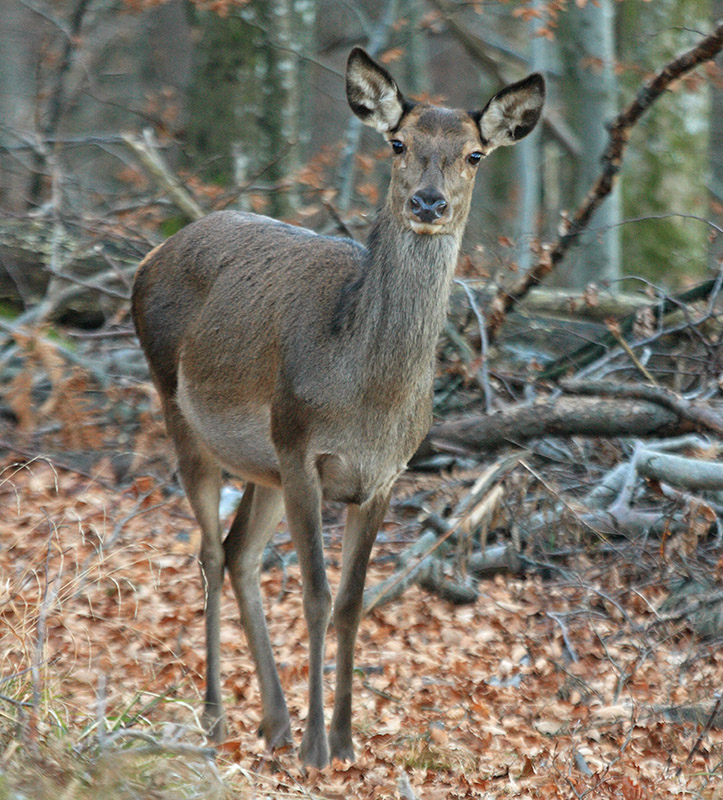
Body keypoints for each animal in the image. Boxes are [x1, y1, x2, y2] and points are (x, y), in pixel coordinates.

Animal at [133, 48, 544, 768]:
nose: (428, 201)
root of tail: (146, 259)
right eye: (398, 142)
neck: (368, 397)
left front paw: (347, 739)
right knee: (209, 551)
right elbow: (317, 594)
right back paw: (216, 717)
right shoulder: (302, 449)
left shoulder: (383, 475)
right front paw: (318, 748)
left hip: (262, 463)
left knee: (239, 553)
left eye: (473, 154)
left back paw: (272, 722)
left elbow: (353, 601)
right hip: (181, 409)